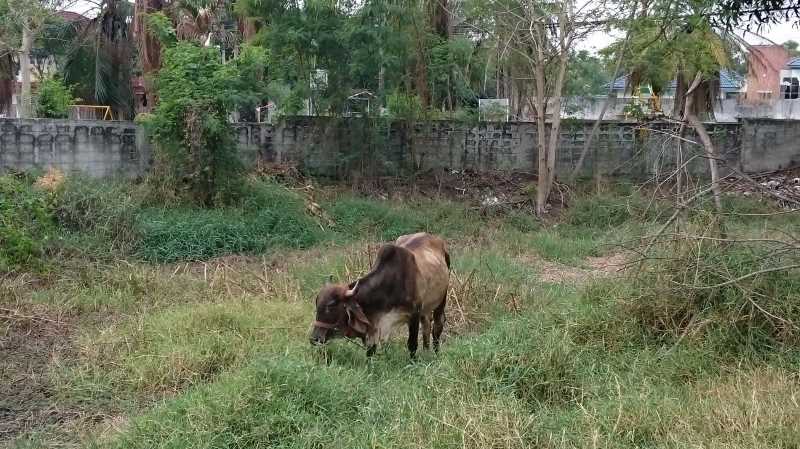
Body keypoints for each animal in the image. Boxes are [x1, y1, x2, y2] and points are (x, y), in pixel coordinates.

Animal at [310, 231, 450, 356]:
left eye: (331, 306)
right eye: (317, 305)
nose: (314, 339)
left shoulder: (414, 315)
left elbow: (412, 345)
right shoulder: (374, 324)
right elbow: (370, 350)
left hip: (441, 300)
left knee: (437, 326)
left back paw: (435, 354)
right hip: (426, 308)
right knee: (426, 325)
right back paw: (426, 351)